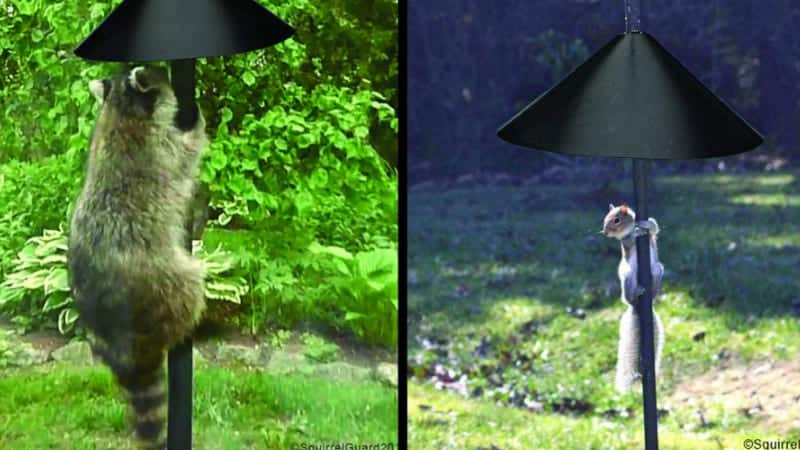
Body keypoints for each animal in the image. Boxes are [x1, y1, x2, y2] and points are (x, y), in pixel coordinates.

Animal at [67, 65, 208, 448]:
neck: (120, 108)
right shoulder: (158, 148)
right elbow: (186, 153)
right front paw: (199, 122)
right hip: (162, 282)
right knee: (190, 284)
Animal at [604, 202, 664, 392]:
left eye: (616, 220)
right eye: (605, 219)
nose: (605, 233)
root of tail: (637, 305)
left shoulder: (652, 235)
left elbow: (655, 228)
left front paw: (646, 224)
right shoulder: (625, 243)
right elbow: (629, 240)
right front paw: (635, 232)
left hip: (658, 270)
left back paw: (652, 293)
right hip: (628, 276)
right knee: (628, 297)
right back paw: (636, 293)